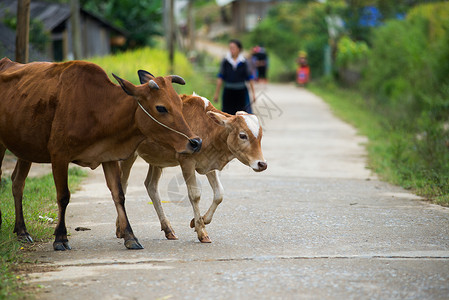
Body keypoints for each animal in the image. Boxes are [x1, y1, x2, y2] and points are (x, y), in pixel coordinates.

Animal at [0, 57, 201, 250]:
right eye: (161, 107)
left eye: (179, 104)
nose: (195, 142)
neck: (99, 107)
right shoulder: (59, 155)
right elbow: (63, 196)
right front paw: (60, 238)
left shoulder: (108, 156)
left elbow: (119, 195)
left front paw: (130, 237)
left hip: (25, 149)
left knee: (17, 182)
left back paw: (22, 231)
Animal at [120, 92, 266, 243]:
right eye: (242, 135)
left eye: (260, 136)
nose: (262, 164)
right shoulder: (187, 161)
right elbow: (195, 195)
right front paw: (201, 231)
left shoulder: (209, 164)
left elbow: (219, 194)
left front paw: (200, 221)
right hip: (128, 155)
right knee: (122, 184)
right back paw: (122, 230)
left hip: (157, 159)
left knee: (151, 186)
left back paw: (168, 229)